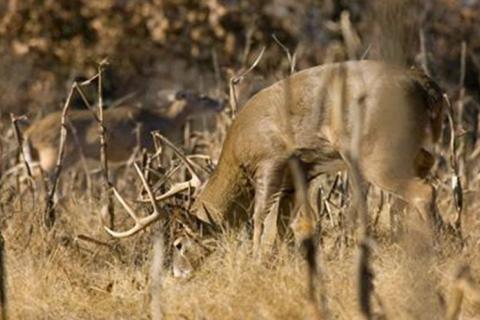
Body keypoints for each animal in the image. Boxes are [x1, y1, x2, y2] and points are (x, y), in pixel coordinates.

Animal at [24, 90, 223, 175]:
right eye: (203, 97)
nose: (221, 103)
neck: (165, 120)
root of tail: (30, 132)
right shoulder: (146, 148)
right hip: (55, 155)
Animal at [105, 59, 446, 255]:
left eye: (178, 243)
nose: (179, 273)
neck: (238, 151)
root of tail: (424, 84)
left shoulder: (273, 158)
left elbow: (259, 217)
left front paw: (256, 258)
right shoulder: (300, 175)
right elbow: (285, 223)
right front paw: (282, 257)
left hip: (378, 150)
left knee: (423, 192)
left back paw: (434, 249)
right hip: (421, 152)